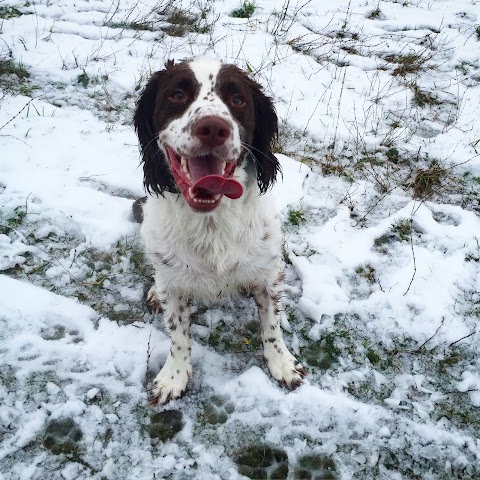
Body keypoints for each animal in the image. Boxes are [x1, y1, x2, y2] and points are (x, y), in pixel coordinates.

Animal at [132, 56, 304, 404]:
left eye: (237, 99)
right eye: (177, 95)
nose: (212, 128)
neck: (211, 221)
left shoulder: (270, 273)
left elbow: (272, 326)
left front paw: (282, 363)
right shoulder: (174, 287)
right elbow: (178, 333)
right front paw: (173, 376)